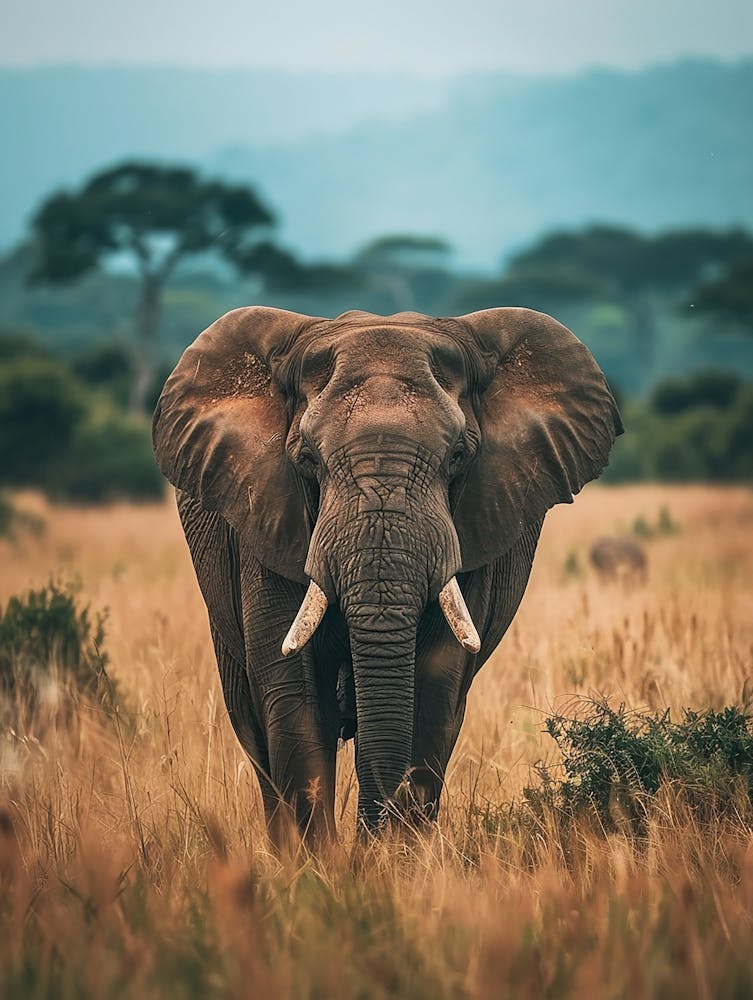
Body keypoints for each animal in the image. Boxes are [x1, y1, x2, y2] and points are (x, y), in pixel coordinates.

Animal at [152, 306, 621, 842]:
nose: (366, 842)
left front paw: (390, 856)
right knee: (254, 730)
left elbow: (432, 692)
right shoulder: (266, 519)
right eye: (307, 459)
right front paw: (321, 863)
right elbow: (292, 698)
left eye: (458, 456)